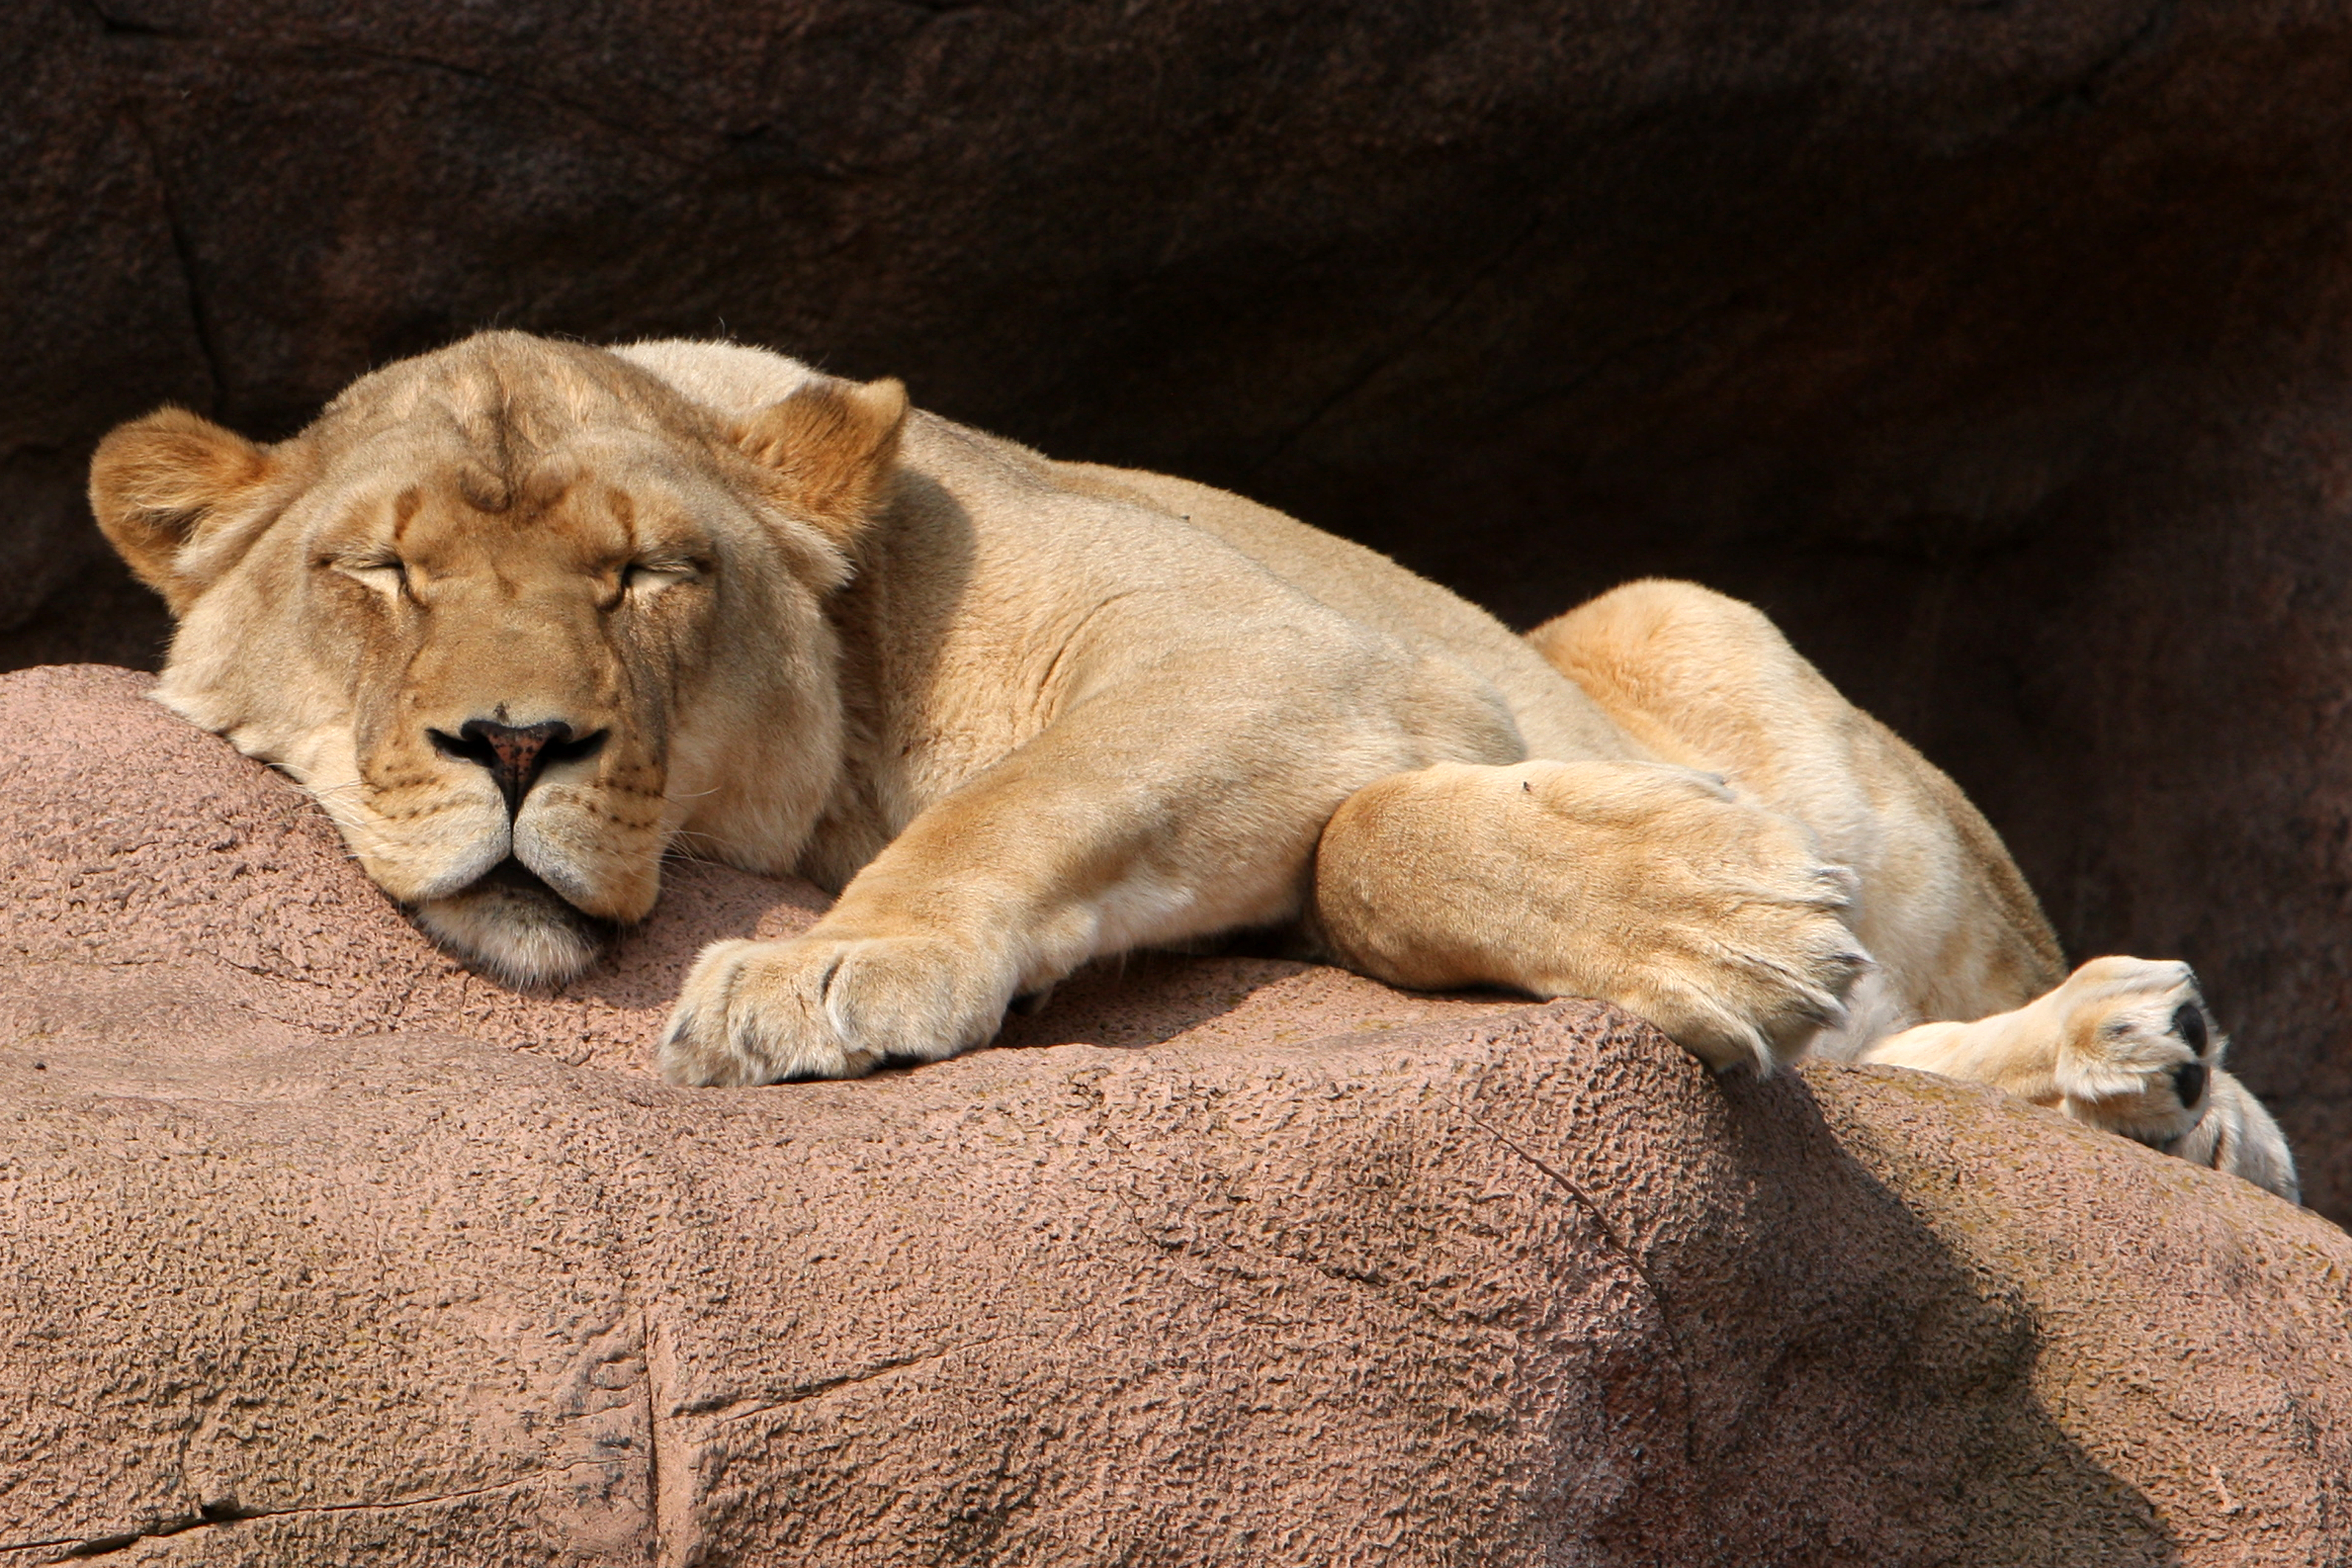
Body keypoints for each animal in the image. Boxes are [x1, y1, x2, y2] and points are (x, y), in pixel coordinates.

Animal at [87, 333, 2295, 1203]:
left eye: (646, 576)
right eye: (381, 571)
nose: (518, 740)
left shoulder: (1262, 643)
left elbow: (1176, 817)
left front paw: (814, 970)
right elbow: (1362, 853)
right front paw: (1717, 918)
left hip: (1691, 615)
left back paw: (2170, 1071)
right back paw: (2137, 1071)